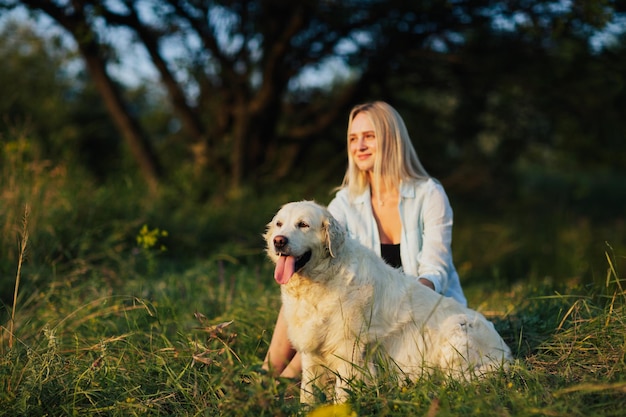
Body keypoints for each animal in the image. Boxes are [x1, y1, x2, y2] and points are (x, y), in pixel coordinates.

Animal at [260, 202, 510, 404]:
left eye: (303, 224)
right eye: (279, 224)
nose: (278, 241)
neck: (322, 280)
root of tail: (506, 354)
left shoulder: (349, 348)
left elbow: (342, 390)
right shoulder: (311, 350)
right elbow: (308, 391)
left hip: (457, 328)